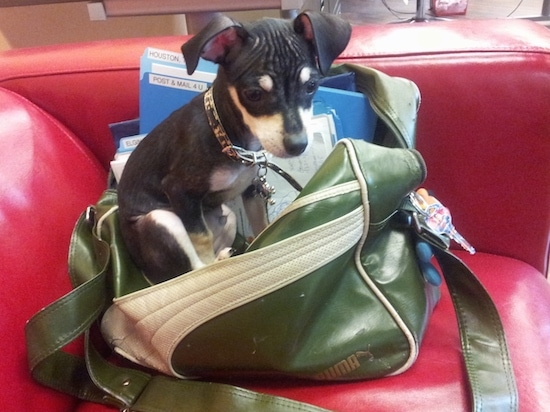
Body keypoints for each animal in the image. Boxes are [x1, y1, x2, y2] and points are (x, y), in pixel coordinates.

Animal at [118, 12, 352, 284]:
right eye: (253, 94)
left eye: (311, 85)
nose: (298, 145)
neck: (232, 141)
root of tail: (149, 276)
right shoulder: (179, 191)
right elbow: (201, 239)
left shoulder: (253, 190)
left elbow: (262, 226)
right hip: (160, 219)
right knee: (191, 270)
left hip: (227, 218)